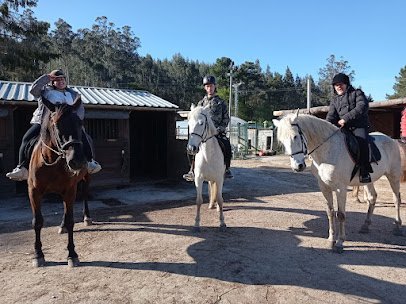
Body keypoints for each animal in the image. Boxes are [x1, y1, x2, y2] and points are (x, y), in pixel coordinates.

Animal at [28, 94, 88, 266]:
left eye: (79, 123)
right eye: (56, 124)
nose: (77, 160)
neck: (52, 161)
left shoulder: (70, 190)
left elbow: (70, 221)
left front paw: (72, 254)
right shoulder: (34, 192)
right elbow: (37, 222)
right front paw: (38, 255)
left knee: (85, 195)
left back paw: (87, 217)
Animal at [186, 103, 225, 232]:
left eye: (201, 123)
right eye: (189, 123)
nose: (191, 148)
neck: (208, 155)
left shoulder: (219, 178)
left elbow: (220, 198)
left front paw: (222, 222)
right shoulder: (199, 179)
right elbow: (199, 200)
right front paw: (196, 224)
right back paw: (211, 205)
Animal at [272, 113, 402, 253]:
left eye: (295, 136)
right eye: (282, 141)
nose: (298, 166)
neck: (328, 151)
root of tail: (391, 140)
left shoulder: (341, 188)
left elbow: (340, 215)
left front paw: (340, 242)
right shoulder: (324, 187)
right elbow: (330, 212)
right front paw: (331, 239)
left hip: (393, 176)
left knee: (396, 199)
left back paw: (397, 227)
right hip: (369, 181)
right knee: (372, 197)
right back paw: (365, 226)